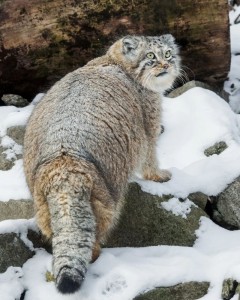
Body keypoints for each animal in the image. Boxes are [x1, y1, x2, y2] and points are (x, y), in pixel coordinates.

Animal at [23, 34, 180, 292]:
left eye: (168, 53)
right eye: (150, 55)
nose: (167, 65)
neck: (114, 60)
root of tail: (63, 169)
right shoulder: (148, 124)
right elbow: (150, 156)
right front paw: (158, 175)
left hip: (42, 207)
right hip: (107, 199)